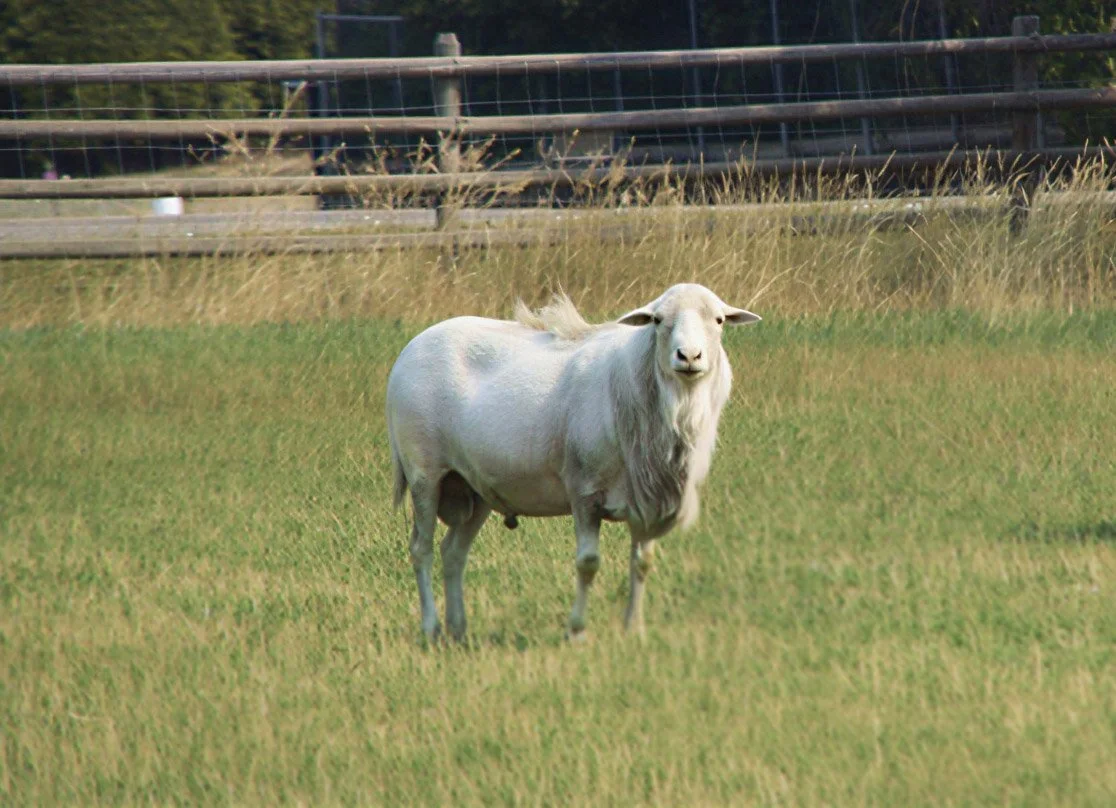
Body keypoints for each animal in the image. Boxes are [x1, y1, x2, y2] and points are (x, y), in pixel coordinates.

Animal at [386, 284, 760, 641]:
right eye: (657, 320)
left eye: (719, 320)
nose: (689, 356)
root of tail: (411, 348)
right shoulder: (584, 492)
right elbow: (588, 563)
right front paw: (577, 631)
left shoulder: (648, 496)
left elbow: (642, 563)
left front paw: (634, 629)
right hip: (424, 472)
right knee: (421, 549)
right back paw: (431, 627)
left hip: (475, 486)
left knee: (453, 552)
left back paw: (458, 629)